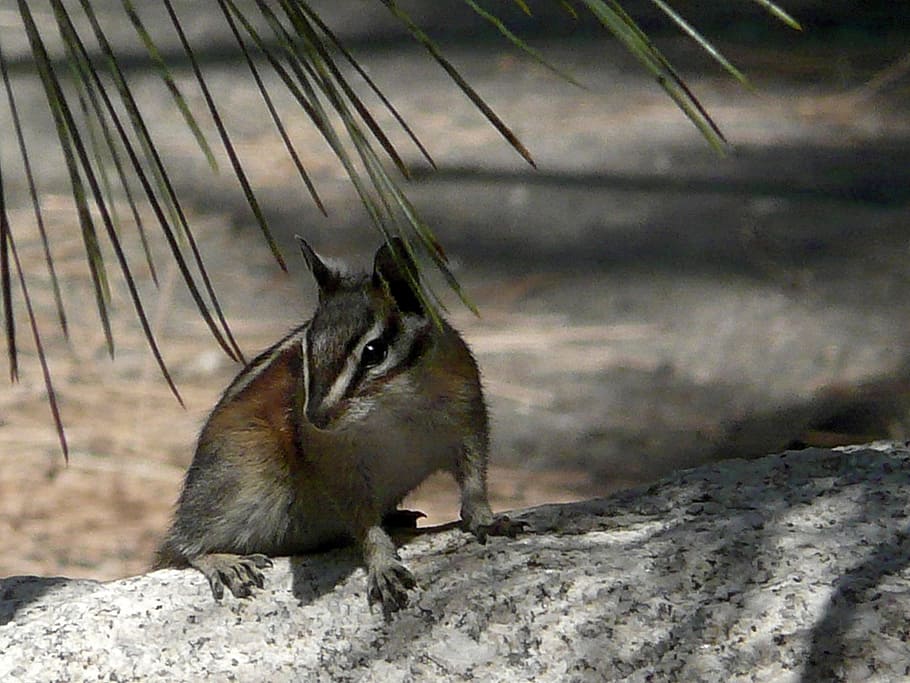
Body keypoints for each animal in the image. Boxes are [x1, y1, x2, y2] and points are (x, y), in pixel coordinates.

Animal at [154, 237, 524, 618]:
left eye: (374, 352)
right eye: (305, 350)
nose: (315, 416)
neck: (392, 410)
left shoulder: (467, 417)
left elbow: (474, 480)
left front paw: (487, 519)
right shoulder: (336, 464)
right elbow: (362, 521)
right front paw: (383, 565)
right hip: (242, 476)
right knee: (183, 545)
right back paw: (223, 562)